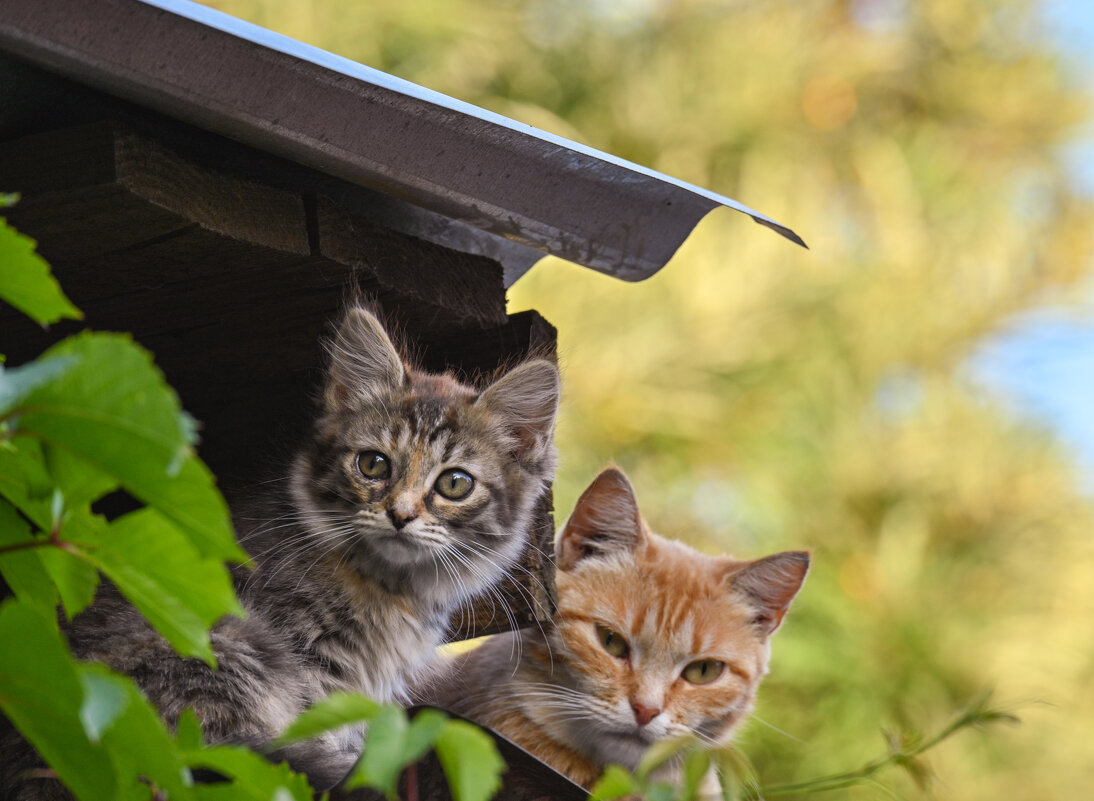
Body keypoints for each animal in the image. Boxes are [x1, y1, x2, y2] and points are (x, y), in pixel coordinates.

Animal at [0, 306, 560, 796]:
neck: (388, 587)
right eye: (374, 465)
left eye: (454, 484)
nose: (400, 515)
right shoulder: (308, 661)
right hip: (214, 649)